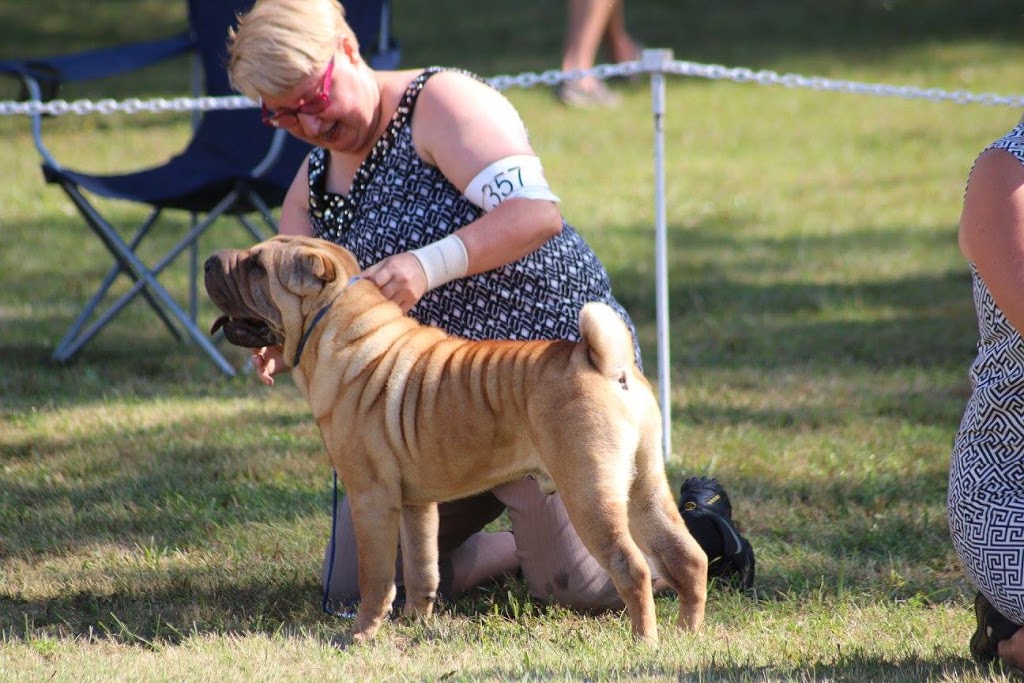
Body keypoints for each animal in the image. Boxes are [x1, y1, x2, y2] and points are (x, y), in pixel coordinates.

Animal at [203, 236, 708, 647]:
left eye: (256, 267)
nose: (209, 260)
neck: (338, 331)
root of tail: (607, 363)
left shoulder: (371, 499)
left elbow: (375, 577)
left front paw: (362, 634)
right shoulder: (416, 505)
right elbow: (421, 567)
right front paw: (414, 622)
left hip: (588, 494)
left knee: (633, 566)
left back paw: (644, 641)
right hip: (643, 487)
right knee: (687, 557)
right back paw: (687, 633)